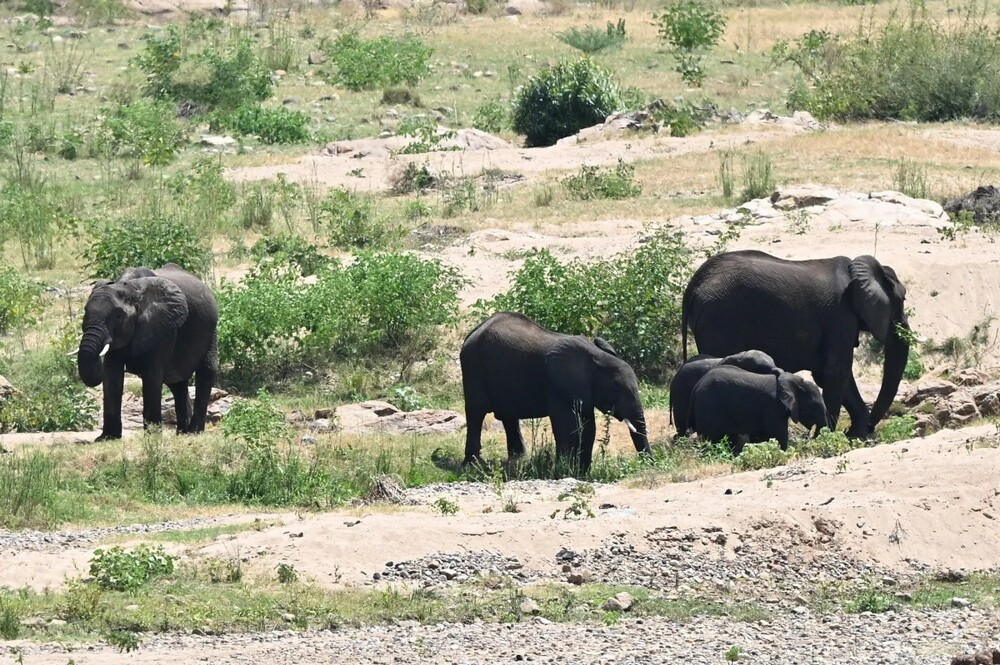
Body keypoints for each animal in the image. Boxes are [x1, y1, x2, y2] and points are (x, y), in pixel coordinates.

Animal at [75, 264, 220, 440]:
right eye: (85, 311)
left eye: (118, 315)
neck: (129, 287)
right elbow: (111, 374)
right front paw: (107, 438)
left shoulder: (163, 327)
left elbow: (152, 375)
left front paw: (152, 436)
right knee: (177, 384)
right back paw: (182, 433)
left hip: (211, 331)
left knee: (206, 373)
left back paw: (192, 432)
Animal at [458, 312, 648, 472]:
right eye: (615, 389)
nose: (647, 464)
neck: (598, 356)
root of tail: (472, 332)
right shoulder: (556, 384)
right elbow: (567, 425)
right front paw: (565, 471)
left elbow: (587, 426)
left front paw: (582, 472)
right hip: (473, 366)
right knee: (476, 413)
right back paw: (474, 465)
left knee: (508, 416)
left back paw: (517, 460)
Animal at [684, 249, 912, 436]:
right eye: (902, 300)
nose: (873, 426)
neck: (855, 270)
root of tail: (692, 288)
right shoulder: (840, 318)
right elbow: (835, 373)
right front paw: (827, 437)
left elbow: (830, 375)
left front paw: (856, 435)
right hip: (719, 320)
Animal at [688, 366, 828, 454]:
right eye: (813, 406)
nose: (808, 438)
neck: (794, 380)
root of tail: (696, 387)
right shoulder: (772, 406)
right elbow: (779, 435)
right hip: (709, 406)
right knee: (712, 438)